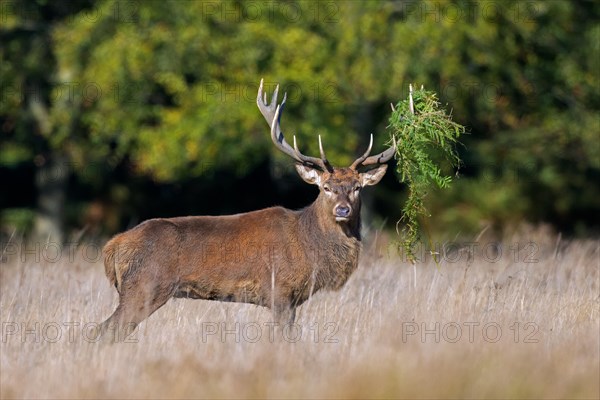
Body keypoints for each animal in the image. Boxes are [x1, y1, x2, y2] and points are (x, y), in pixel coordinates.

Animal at [99, 80, 396, 340]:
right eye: (325, 187)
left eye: (357, 187)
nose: (343, 210)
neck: (310, 247)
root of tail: (113, 245)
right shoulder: (279, 291)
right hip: (143, 287)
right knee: (103, 331)